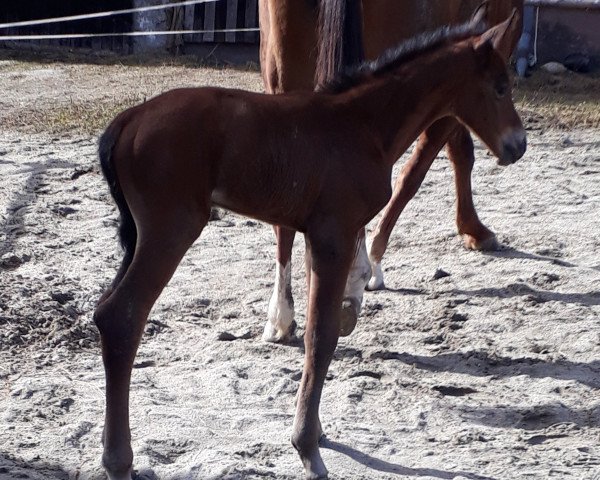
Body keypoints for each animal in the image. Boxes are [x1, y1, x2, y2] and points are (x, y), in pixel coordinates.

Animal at [95, 15, 524, 480]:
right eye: (500, 86)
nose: (518, 145)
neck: (363, 125)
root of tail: (129, 119)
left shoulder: (315, 235)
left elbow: (321, 328)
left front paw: (316, 432)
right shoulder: (333, 235)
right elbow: (321, 336)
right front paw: (306, 447)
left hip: (142, 235)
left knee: (106, 313)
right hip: (171, 229)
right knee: (123, 316)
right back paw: (119, 461)